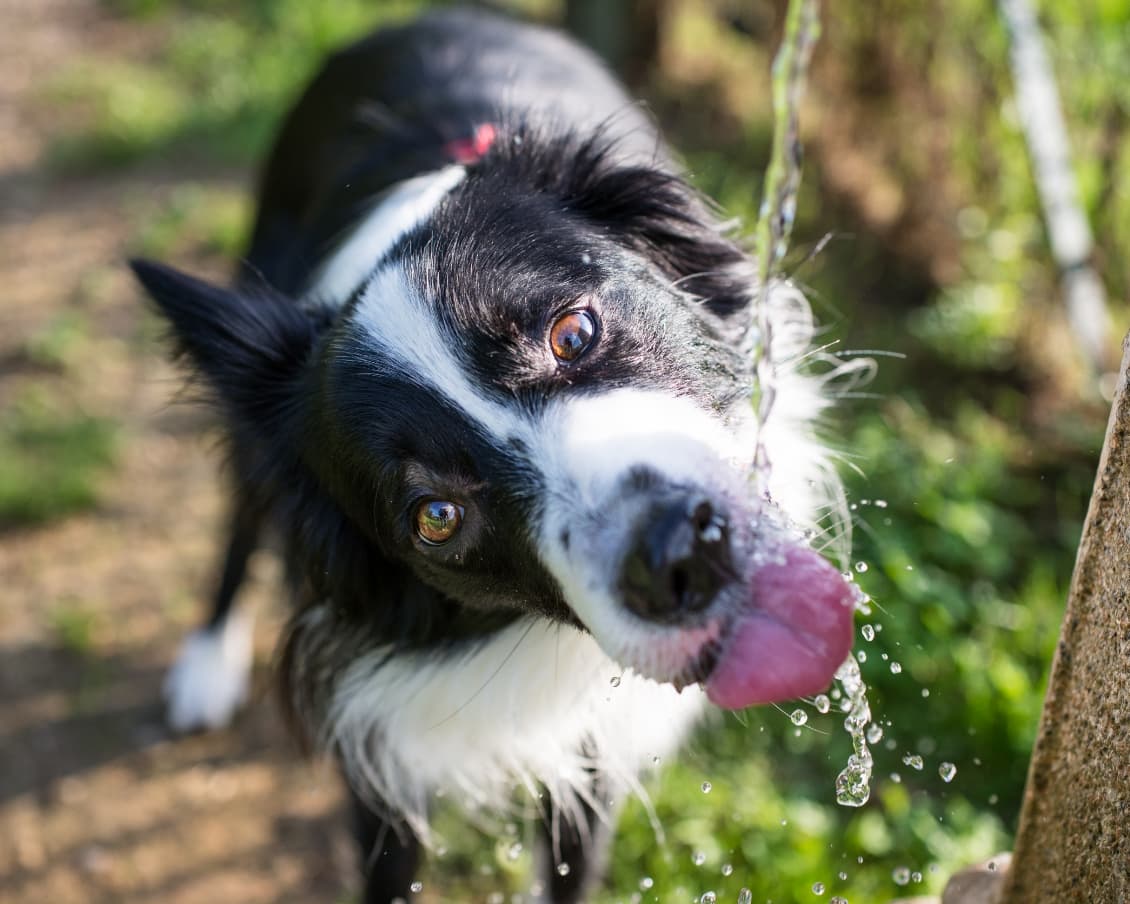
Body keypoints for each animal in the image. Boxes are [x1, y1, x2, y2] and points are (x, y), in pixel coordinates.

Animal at [129, 8, 854, 904]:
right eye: (436, 517)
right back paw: (206, 663)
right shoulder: (378, 748)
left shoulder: (592, 756)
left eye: (573, 332)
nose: (680, 556)